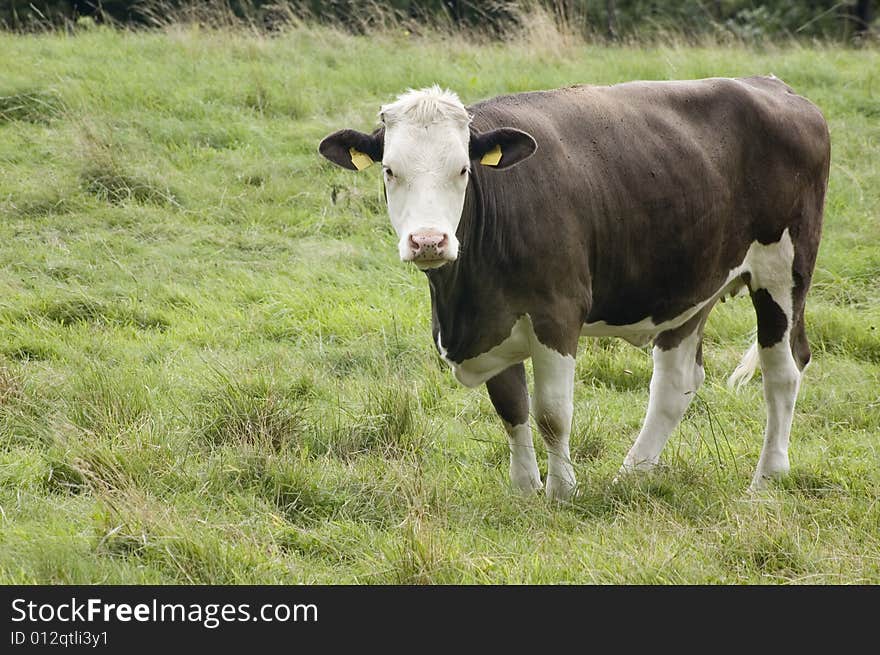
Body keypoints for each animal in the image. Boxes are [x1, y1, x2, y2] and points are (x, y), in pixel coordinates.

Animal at [320, 80, 828, 502]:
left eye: (463, 170)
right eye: (389, 171)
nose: (428, 241)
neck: (462, 301)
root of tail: (776, 88)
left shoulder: (557, 312)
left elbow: (551, 413)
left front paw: (562, 490)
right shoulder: (495, 319)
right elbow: (512, 408)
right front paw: (524, 489)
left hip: (783, 272)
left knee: (783, 369)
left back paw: (766, 479)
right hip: (690, 286)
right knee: (676, 382)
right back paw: (632, 475)